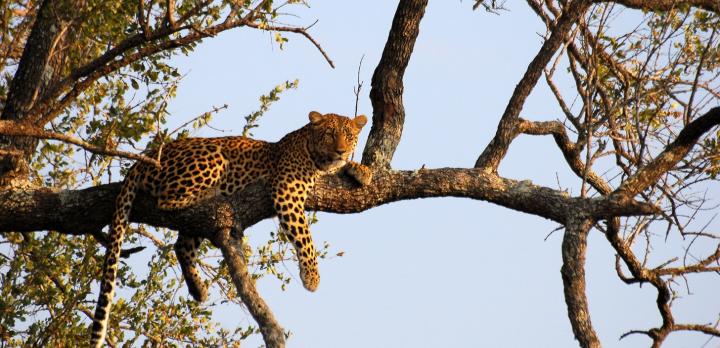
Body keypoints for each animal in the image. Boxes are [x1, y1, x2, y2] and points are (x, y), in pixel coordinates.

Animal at [89, 111, 372, 346]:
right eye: (329, 134)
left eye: (348, 136)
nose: (341, 151)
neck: (314, 155)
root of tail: (147, 157)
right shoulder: (287, 192)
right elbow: (305, 237)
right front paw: (312, 277)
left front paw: (361, 170)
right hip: (212, 157)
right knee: (167, 200)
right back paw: (212, 193)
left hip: (197, 222)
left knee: (182, 244)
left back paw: (198, 289)